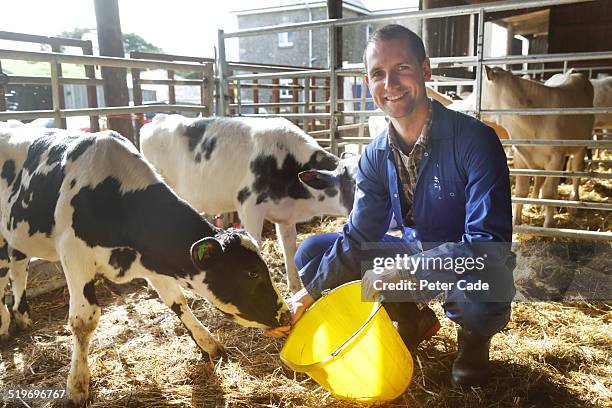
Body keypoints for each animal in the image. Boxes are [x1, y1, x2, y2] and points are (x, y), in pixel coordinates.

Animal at [0, 126, 290, 404]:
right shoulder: (74, 253)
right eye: (251, 273)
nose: (286, 315)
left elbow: (177, 301)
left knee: (19, 267)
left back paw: (21, 316)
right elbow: (84, 321)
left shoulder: (152, 259)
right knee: (5, 271)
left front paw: (208, 344)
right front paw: (77, 385)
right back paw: (4, 325)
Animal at [140, 115, 356, 294]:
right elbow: (256, 244)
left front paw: (294, 289)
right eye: (355, 185)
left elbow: (289, 249)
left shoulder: (285, 216)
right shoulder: (250, 206)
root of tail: (156, 119)